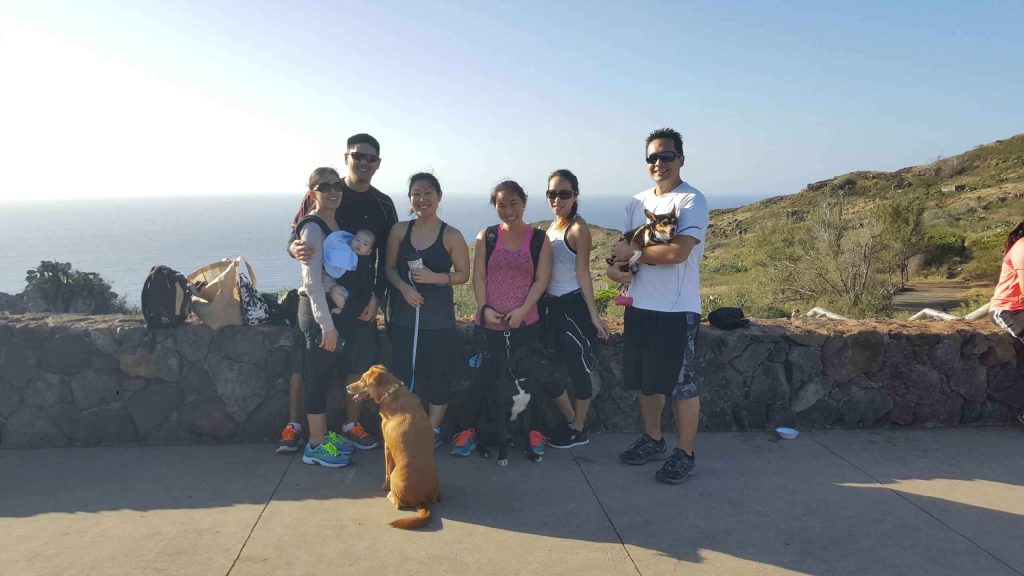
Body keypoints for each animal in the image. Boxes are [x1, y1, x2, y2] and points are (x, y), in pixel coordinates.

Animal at [348, 364, 440, 528]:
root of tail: (421, 500)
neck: (392, 391)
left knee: (398, 504)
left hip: (395, 475)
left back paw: (390, 494)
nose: (347, 388)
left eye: (363, 380)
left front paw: (385, 486)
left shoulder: (387, 447)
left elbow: (386, 472)